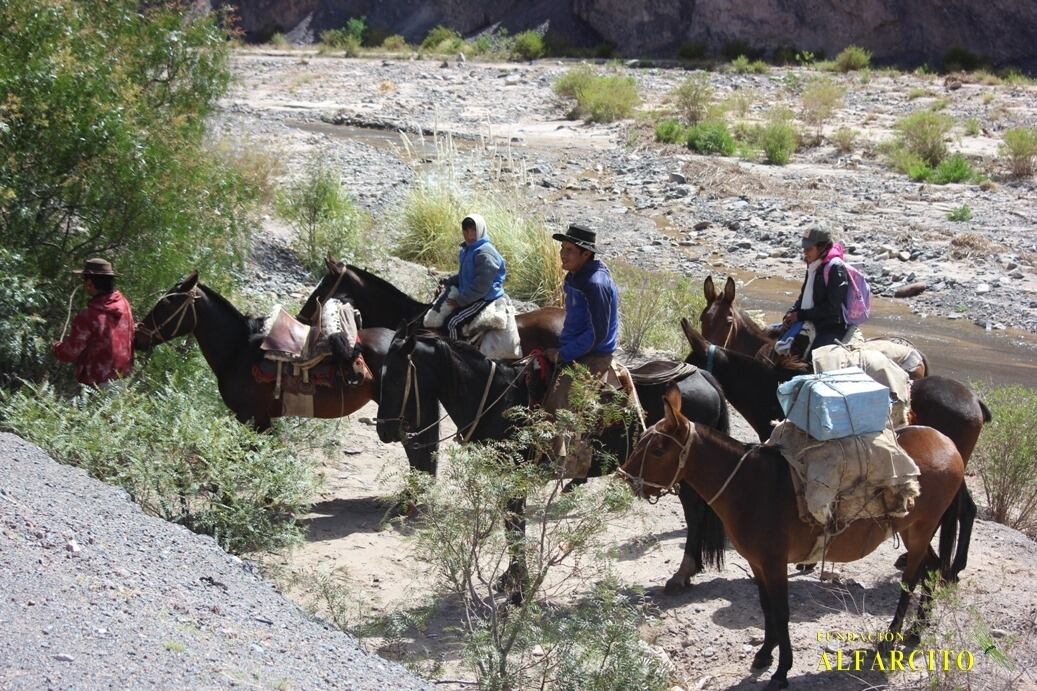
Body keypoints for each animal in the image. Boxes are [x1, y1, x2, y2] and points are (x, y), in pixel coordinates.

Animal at [379, 319, 730, 593]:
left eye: (394, 375)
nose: (384, 430)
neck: (498, 398)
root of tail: (704, 377)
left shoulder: (515, 478)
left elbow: (516, 527)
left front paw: (518, 585)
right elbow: (512, 527)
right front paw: (510, 579)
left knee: (695, 515)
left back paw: (682, 574)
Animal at [613, 383, 962, 684]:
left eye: (658, 449)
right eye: (643, 440)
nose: (626, 477)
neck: (748, 485)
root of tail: (949, 444)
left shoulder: (774, 562)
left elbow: (781, 613)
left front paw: (782, 670)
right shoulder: (756, 563)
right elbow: (767, 609)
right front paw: (765, 655)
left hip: (921, 529)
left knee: (911, 579)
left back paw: (893, 636)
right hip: (914, 530)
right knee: (931, 568)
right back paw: (917, 630)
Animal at [680, 319, 987, 581]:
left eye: (690, 363)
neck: (770, 391)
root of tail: (975, 401)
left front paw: (808, 562)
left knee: (956, 510)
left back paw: (944, 566)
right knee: (963, 508)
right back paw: (943, 564)